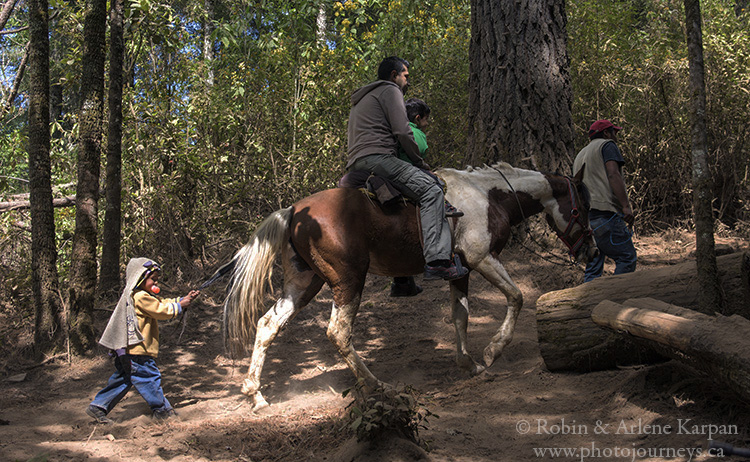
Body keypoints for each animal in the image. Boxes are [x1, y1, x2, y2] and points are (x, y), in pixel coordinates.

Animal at [213, 161, 600, 410]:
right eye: (583, 207)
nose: (593, 250)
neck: (488, 195)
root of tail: (294, 210)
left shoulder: (460, 270)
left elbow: (461, 316)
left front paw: (468, 364)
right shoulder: (481, 258)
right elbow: (517, 297)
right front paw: (493, 350)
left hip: (305, 283)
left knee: (267, 325)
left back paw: (256, 395)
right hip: (348, 280)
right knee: (338, 332)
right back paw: (377, 385)